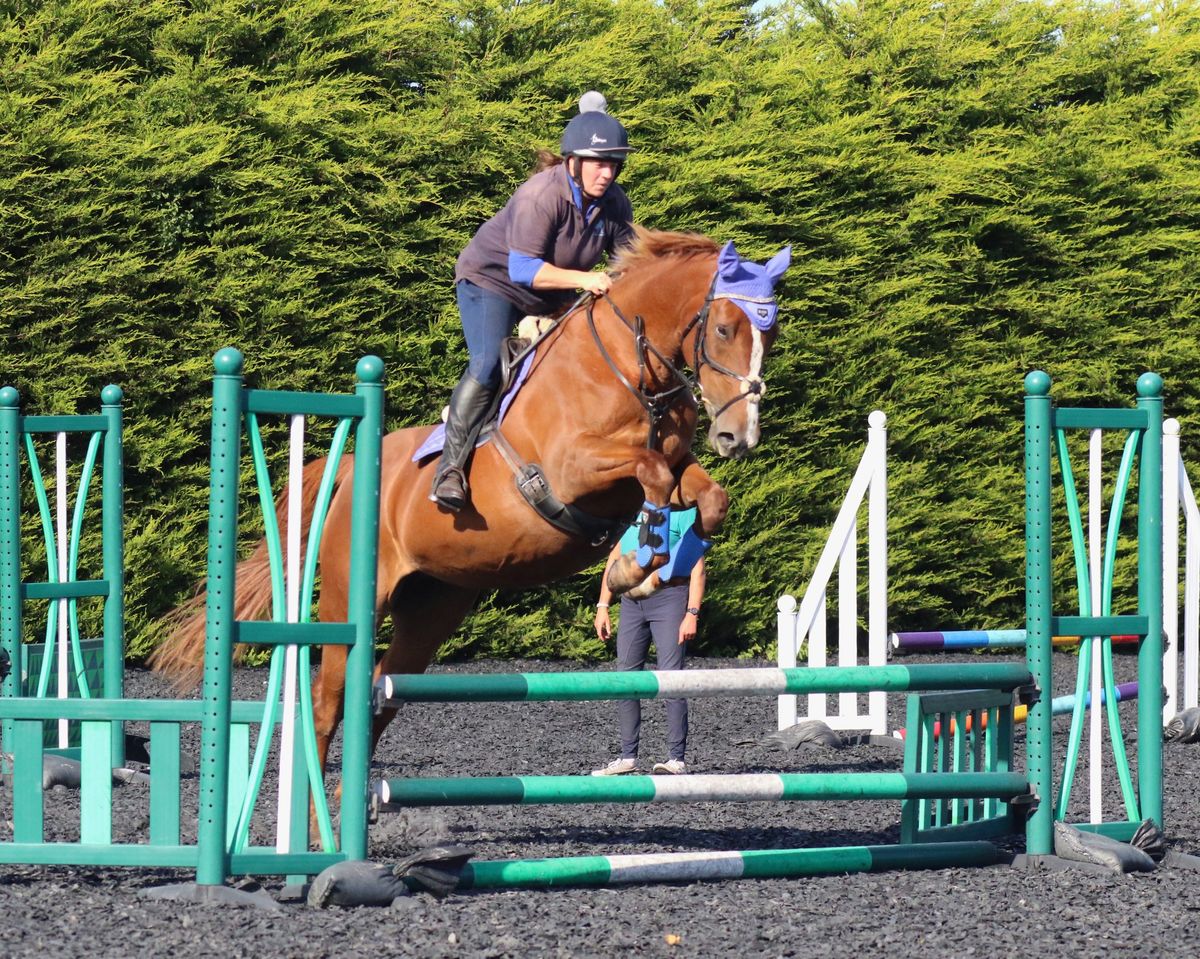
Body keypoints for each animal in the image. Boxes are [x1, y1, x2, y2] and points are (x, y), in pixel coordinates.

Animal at [152, 229, 787, 782]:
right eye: (724, 328)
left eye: (771, 335)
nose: (739, 437)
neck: (631, 370)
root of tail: (353, 469)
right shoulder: (575, 469)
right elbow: (648, 472)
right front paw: (632, 568)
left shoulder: (671, 469)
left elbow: (707, 495)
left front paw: (653, 566)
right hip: (350, 599)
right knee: (329, 703)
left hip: (432, 607)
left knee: (381, 697)